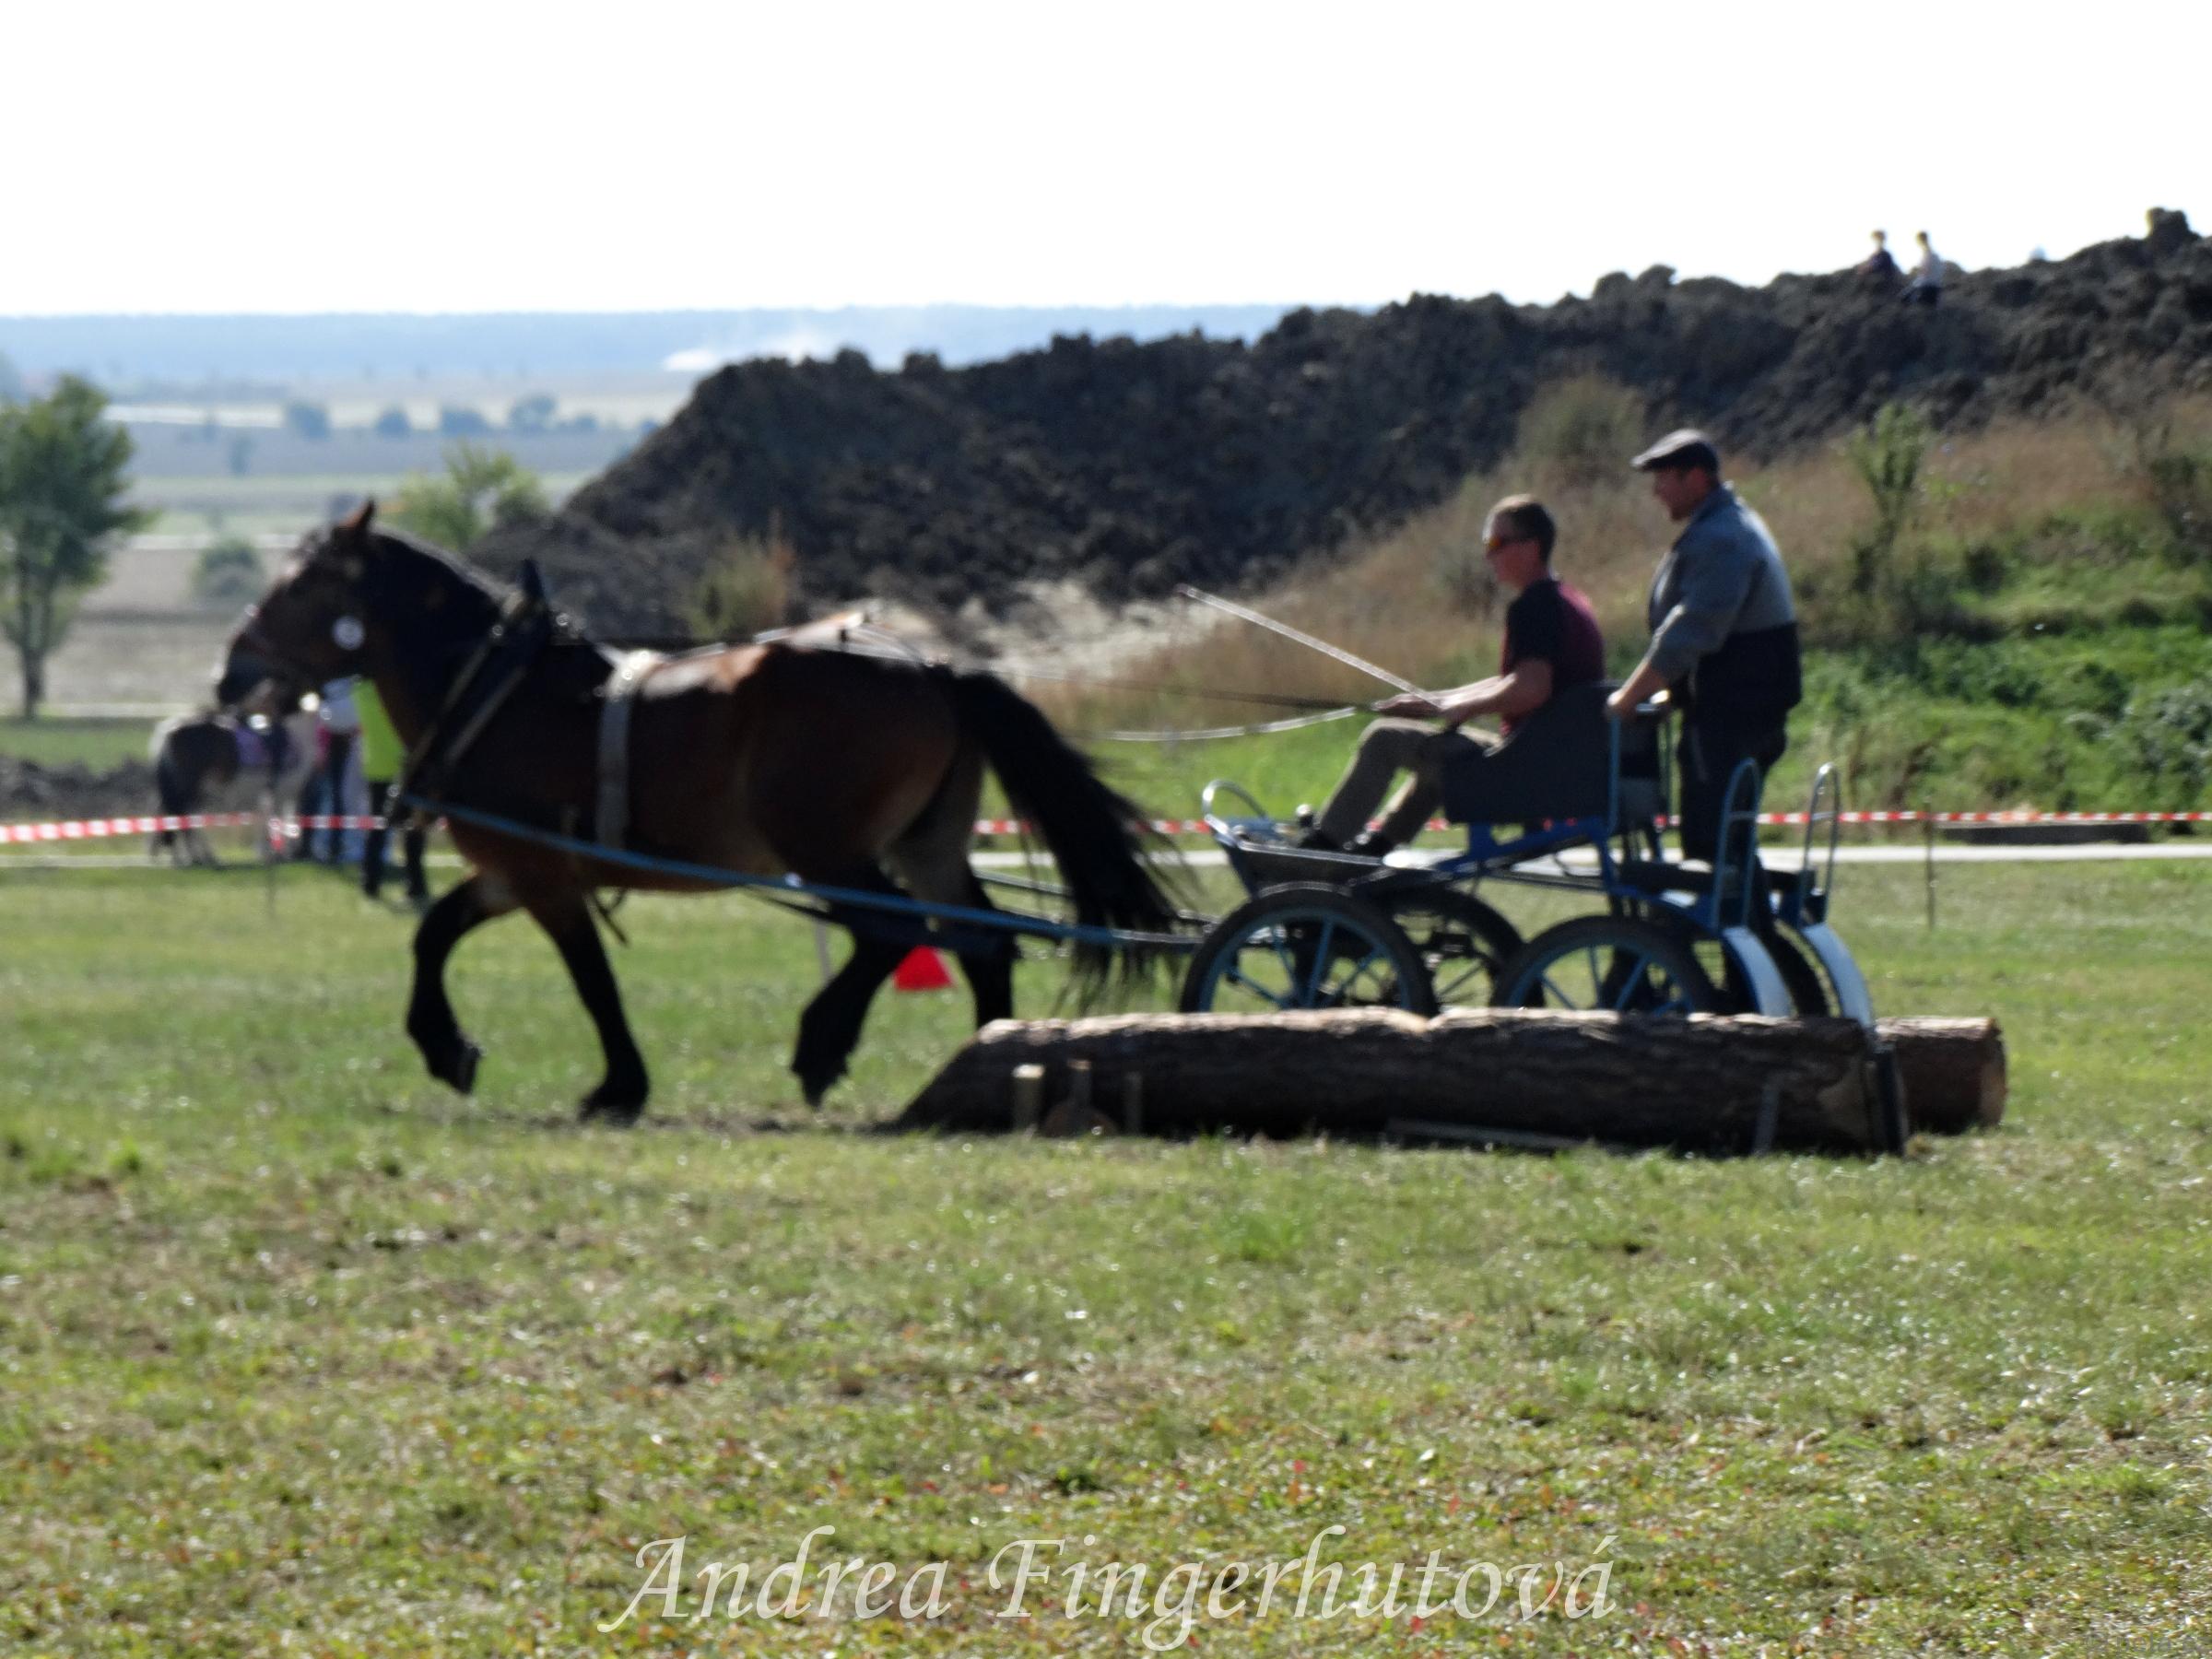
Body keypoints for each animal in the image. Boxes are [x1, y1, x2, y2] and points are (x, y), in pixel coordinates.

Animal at [218, 503, 1182, 1121]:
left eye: (300, 588)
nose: (231, 672)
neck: (501, 689)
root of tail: (932, 667)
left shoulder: (543, 876)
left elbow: (590, 980)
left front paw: (618, 1085)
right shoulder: (509, 870)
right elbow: (433, 936)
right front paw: (445, 1047)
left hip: (825, 846)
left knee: (891, 931)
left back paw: (823, 1043)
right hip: (926, 842)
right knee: (979, 938)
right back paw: (992, 1049)